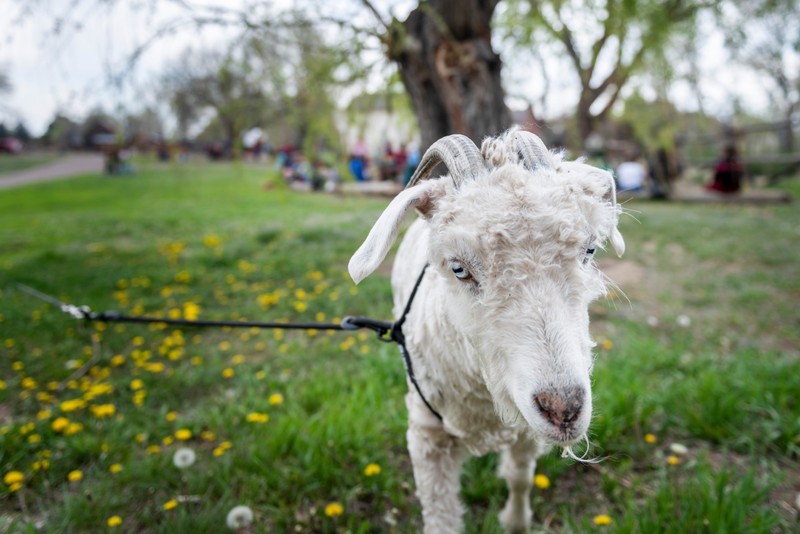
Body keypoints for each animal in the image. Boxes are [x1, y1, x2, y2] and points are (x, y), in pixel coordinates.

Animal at [350, 129, 624, 532]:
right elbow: (441, 517)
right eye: (459, 268)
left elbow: (519, 478)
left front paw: (515, 519)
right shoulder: (427, 437)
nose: (564, 409)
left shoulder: (525, 430)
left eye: (589, 251)